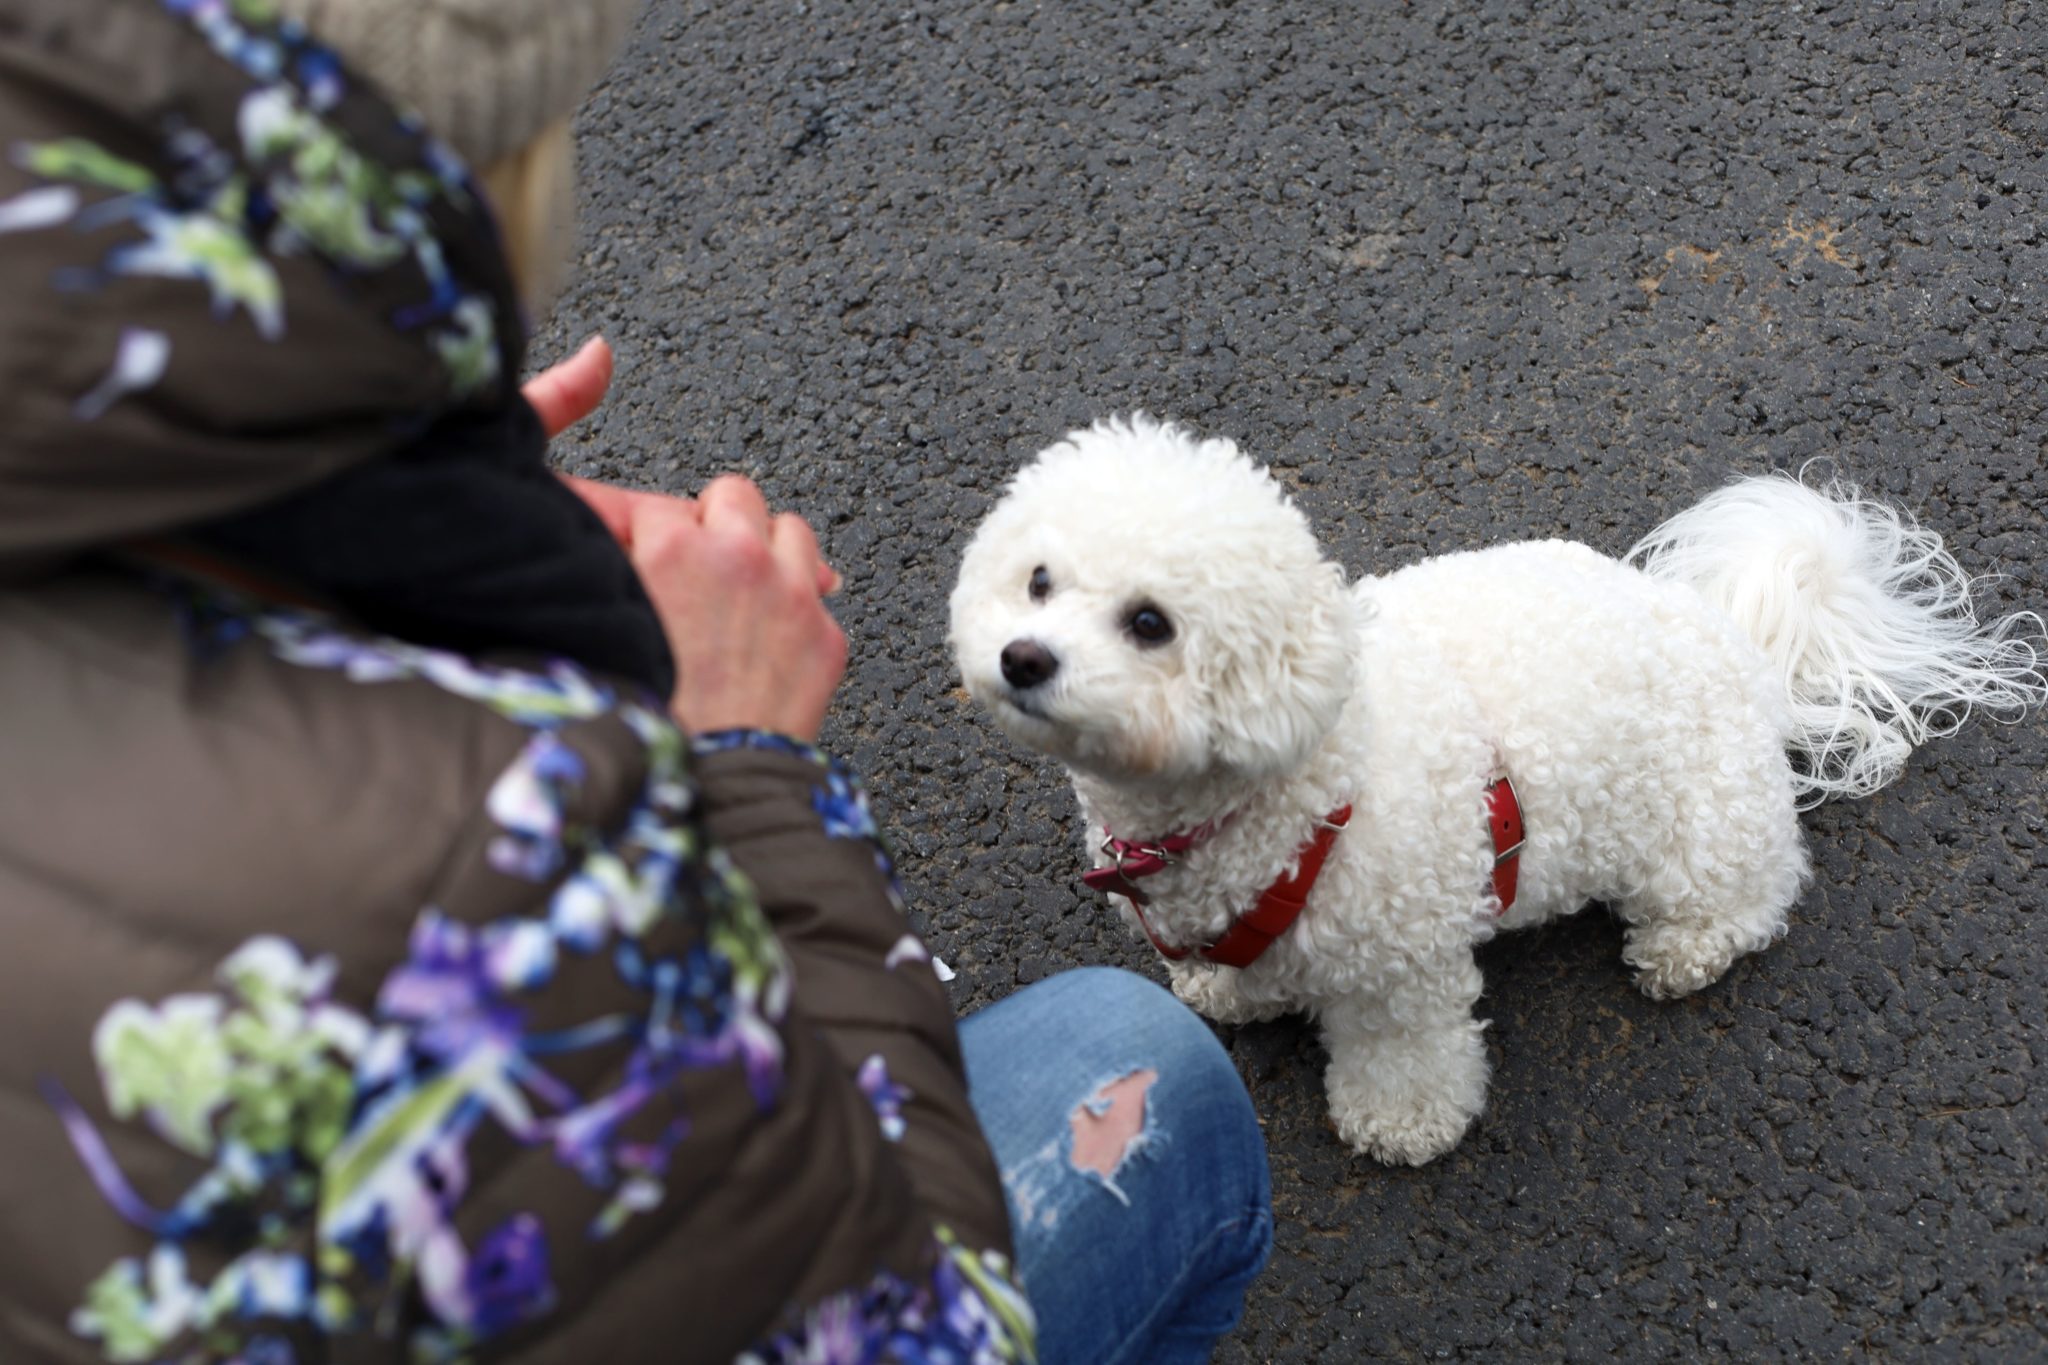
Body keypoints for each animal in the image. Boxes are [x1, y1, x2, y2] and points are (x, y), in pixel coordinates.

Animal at [946, 417, 2048, 1162]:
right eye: (1037, 580)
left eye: (1149, 624)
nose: (1022, 657)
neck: (1289, 786)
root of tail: (1734, 642)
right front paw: (1228, 989)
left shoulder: (1398, 964)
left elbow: (1403, 1052)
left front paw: (1399, 1123)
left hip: (1700, 828)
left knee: (1750, 894)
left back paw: (1684, 947)